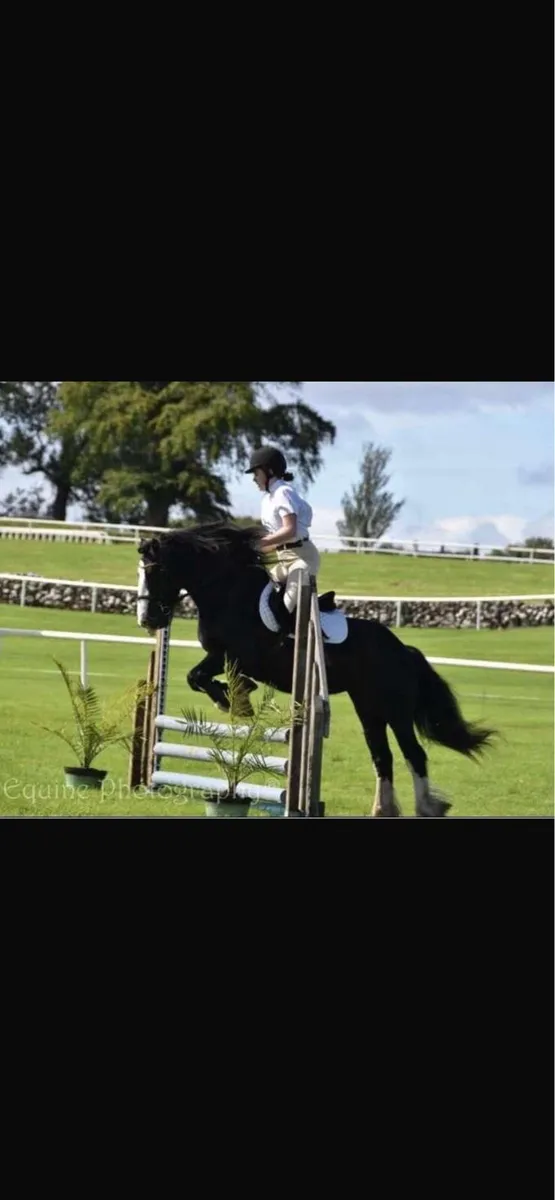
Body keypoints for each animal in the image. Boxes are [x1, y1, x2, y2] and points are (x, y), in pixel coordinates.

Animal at [137, 522, 495, 817]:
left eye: (155, 571)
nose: (148, 620)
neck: (227, 592)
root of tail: (403, 650)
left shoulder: (239, 655)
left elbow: (201, 676)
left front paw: (237, 700)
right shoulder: (221, 656)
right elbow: (198, 677)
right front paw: (235, 698)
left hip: (395, 710)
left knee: (414, 754)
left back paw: (427, 807)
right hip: (369, 708)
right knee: (383, 756)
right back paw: (383, 810)